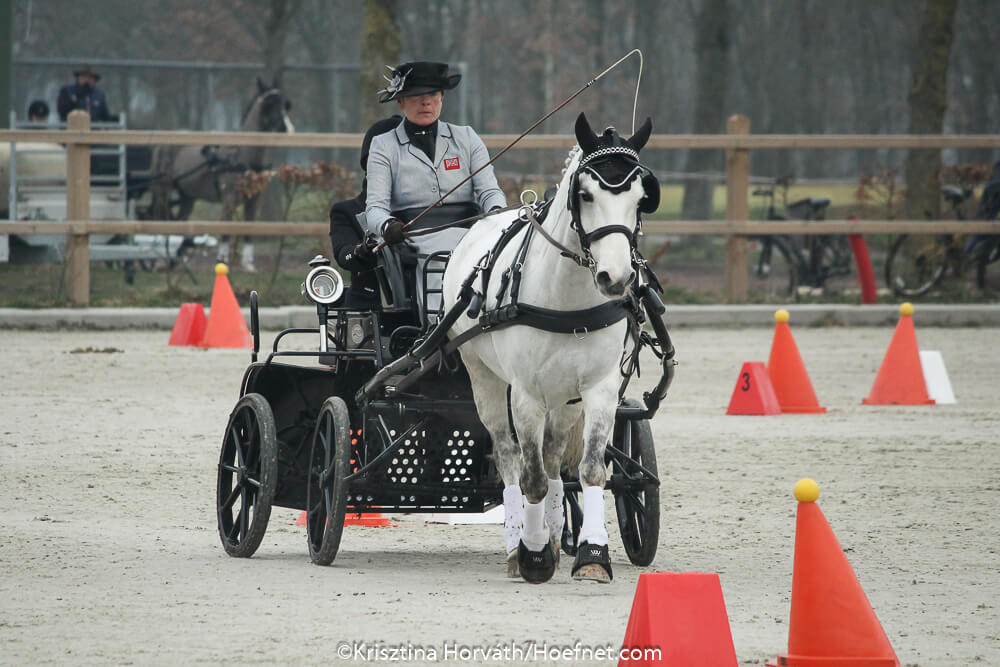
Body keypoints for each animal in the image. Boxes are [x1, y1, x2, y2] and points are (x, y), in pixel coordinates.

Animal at [442, 113, 660, 584]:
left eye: (641, 198)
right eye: (586, 194)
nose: (616, 278)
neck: (568, 300)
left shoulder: (599, 389)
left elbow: (590, 470)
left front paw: (592, 553)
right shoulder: (524, 395)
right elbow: (532, 478)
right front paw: (533, 554)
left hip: (565, 397)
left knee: (557, 455)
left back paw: (559, 534)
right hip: (484, 377)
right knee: (510, 456)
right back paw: (517, 544)